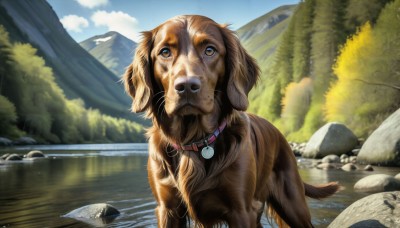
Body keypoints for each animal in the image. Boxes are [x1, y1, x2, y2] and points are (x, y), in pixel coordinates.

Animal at [123, 15, 340, 227]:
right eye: (165, 52)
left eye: (210, 50)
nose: (186, 86)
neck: (194, 140)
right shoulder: (168, 209)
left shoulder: (241, 209)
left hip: (292, 204)